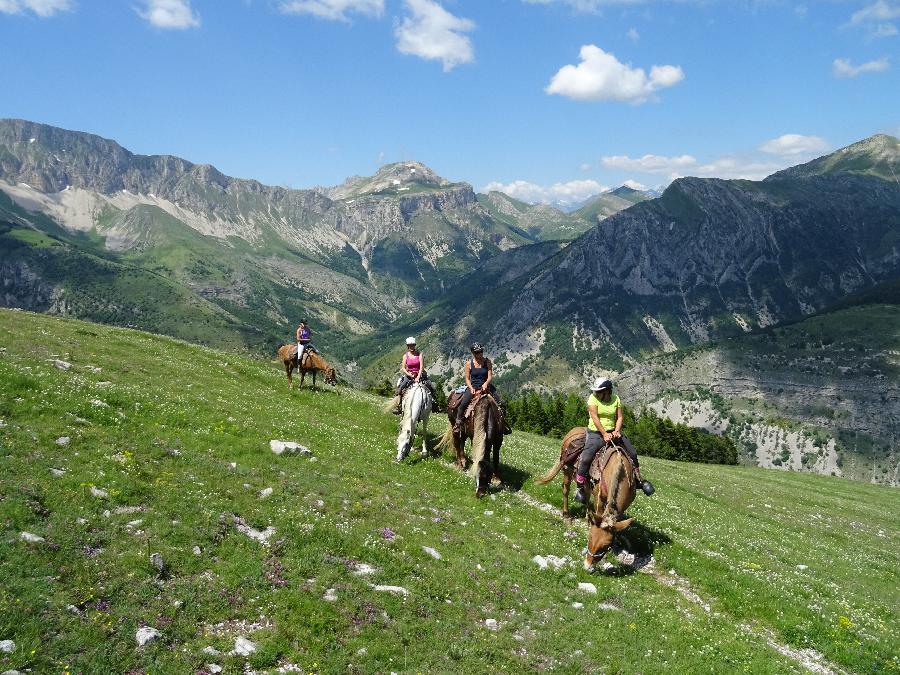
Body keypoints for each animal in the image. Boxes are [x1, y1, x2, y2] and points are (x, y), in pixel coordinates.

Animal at [536, 428, 636, 572]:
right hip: (568, 470)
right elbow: (598, 511)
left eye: (605, 546)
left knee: (587, 497)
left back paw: (588, 517)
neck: (619, 469)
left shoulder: (624, 505)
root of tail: (575, 430)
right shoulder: (600, 499)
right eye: (589, 538)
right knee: (566, 490)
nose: (587, 566)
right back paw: (567, 514)